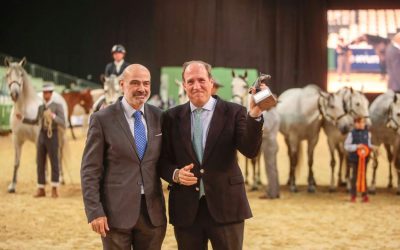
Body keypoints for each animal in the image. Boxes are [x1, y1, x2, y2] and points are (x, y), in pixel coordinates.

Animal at [4, 57, 68, 192]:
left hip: (60, 135)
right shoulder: (16, 139)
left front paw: (40, 184)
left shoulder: (37, 138)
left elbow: (39, 161)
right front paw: (12, 186)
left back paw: (60, 178)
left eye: (21, 74)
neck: (23, 110)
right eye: (7, 74)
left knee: (59, 154)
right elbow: (16, 162)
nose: (14, 94)